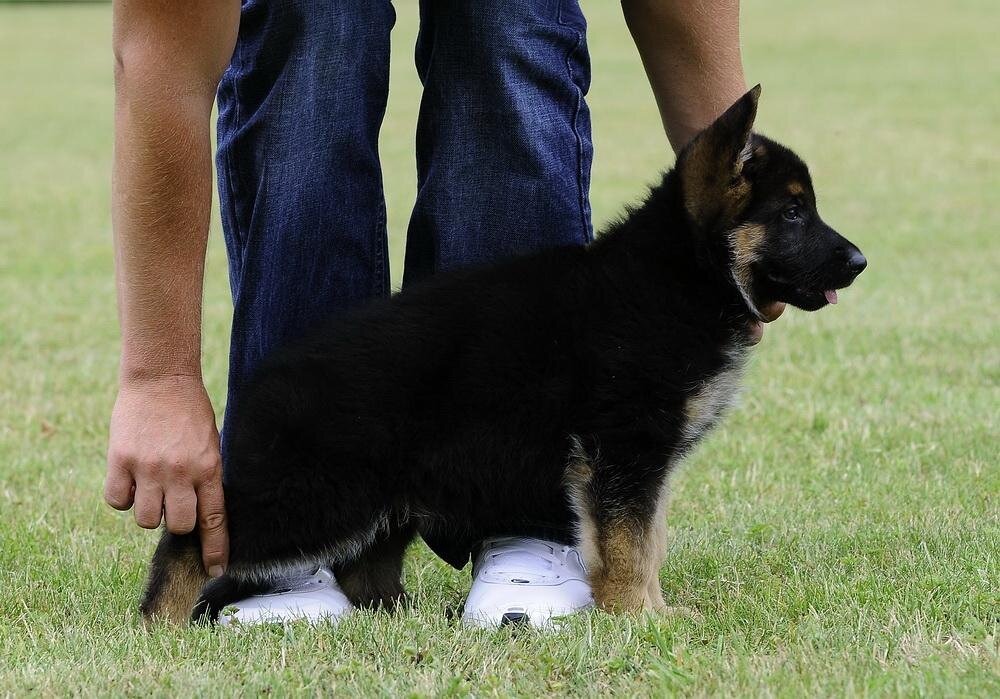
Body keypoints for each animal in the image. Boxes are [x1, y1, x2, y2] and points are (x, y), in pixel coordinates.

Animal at [141, 85, 868, 628]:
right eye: (794, 213)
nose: (861, 261)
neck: (681, 275)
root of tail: (272, 376)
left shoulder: (645, 464)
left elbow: (650, 538)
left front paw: (654, 611)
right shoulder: (623, 453)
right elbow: (630, 545)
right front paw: (636, 616)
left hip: (377, 502)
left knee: (361, 566)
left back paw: (393, 617)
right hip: (316, 493)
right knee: (194, 537)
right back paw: (160, 622)